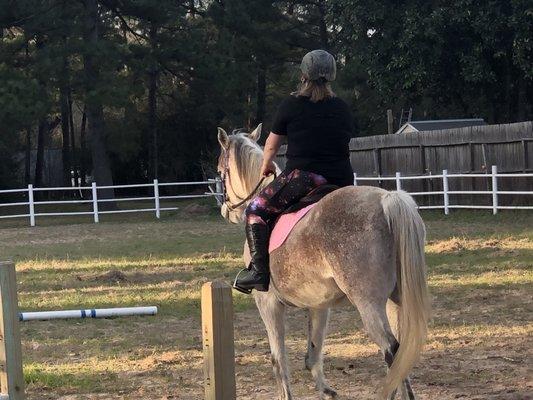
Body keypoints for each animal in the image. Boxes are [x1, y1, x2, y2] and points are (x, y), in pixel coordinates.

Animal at [216, 123, 428, 398]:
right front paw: (327, 392)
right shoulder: (319, 305)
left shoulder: (268, 303)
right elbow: (313, 355)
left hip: (369, 304)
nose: (226, 211)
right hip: (397, 301)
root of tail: (386, 200)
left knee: (391, 351)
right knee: (400, 355)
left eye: (220, 172)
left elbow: (278, 360)